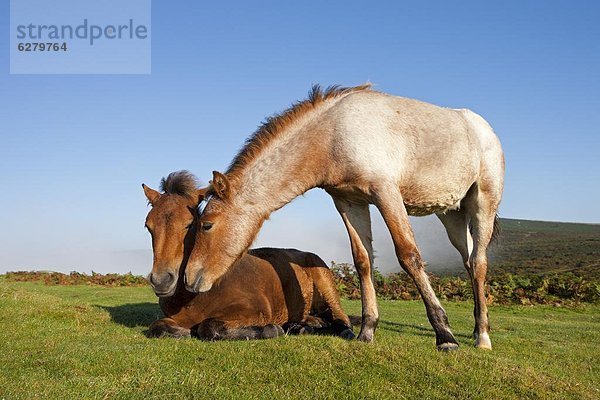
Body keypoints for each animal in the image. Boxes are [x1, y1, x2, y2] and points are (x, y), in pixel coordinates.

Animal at [143, 170, 354, 340]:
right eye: (148, 226)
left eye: (189, 224)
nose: (161, 281)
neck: (191, 297)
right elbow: (157, 327)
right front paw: (182, 332)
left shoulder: (255, 310)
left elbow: (208, 326)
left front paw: (272, 329)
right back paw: (300, 326)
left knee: (340, 317)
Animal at [185, 84, 504, 350]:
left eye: (207, 225)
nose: (189, 278)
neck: (334, 133)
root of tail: (486, 129)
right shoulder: (350, 202)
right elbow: (362, 261)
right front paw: (367, 331)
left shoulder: (386, 193)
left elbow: (409, 256)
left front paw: (444, 335)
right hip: (451, 215)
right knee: (468, 261)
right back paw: (478, 327)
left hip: (483, 202)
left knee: (479, 262)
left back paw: (483, 338)